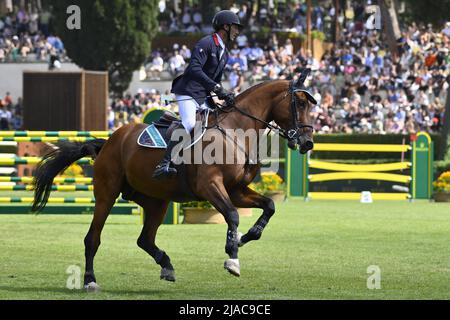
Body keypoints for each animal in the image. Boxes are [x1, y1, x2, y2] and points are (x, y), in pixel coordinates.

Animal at [31, 69, 316, 290]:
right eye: (300, 104)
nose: (307, 143)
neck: (236, 132)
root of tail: (110, 141)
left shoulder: (235, 189)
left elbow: (269, 206)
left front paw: (244, 238)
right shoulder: (211, 186)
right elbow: (232, 215)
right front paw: (232, 257)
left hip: (156, 201)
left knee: (144, 239)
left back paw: (167, 266)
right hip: (107, 194)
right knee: (93, 238)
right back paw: (90, 280)